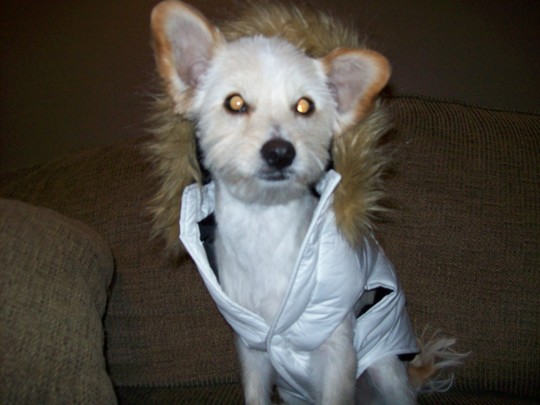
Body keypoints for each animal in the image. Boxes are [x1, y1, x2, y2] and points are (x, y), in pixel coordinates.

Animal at [149, 1, 464, 404]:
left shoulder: (338, 348)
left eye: (304, 106)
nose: (280, 152)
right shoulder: (252, 348)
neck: (264, 224)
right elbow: (255, 393)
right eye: (234, 103)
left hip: (384, 365)